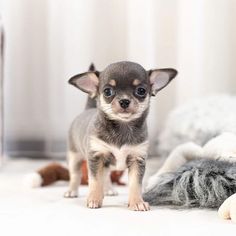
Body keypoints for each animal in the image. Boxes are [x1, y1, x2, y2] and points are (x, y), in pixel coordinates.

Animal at [64, 60, 177, 210]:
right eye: (107, 91)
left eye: (141, 91)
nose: (124, 101)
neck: (123, 126)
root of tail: (88, 110)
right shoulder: (96, 157)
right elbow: (95, 181)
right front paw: (94, 198)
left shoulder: (137, 159)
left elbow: (135, 184)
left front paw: (137, 202)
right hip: (74, 157)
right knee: (75, 175)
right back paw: (72, 191)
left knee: (105, 176)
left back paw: (108, 189)